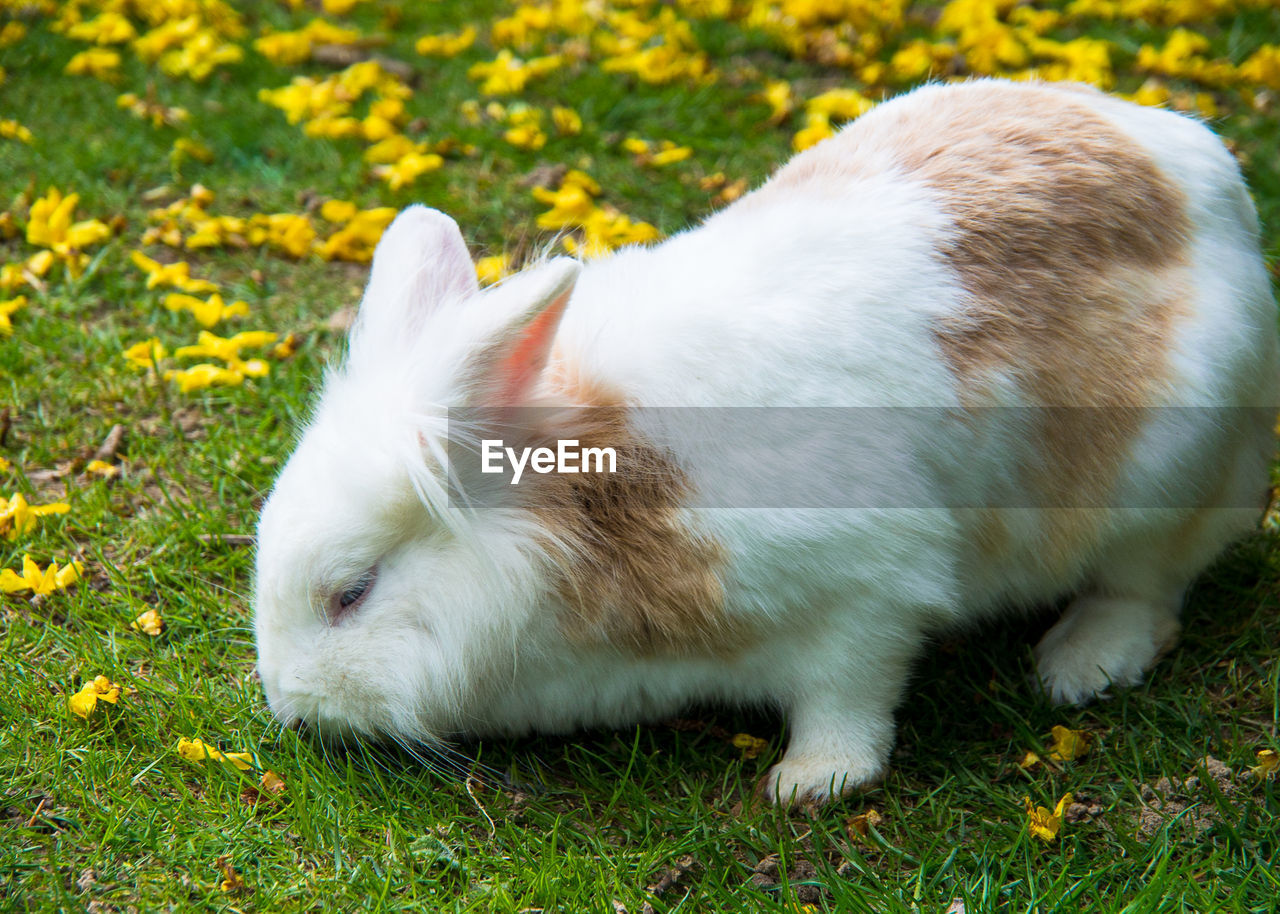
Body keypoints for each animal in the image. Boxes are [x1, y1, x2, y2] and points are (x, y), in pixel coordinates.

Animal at [254, 80, 1274, 803]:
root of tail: (1204, 172)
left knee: (1146, 587)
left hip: (1168, 481)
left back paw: (1078, 666)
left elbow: (848, 695)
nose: (290, 706)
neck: (597, 505)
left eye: (352, 594)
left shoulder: (867, 594)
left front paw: (811, 783)